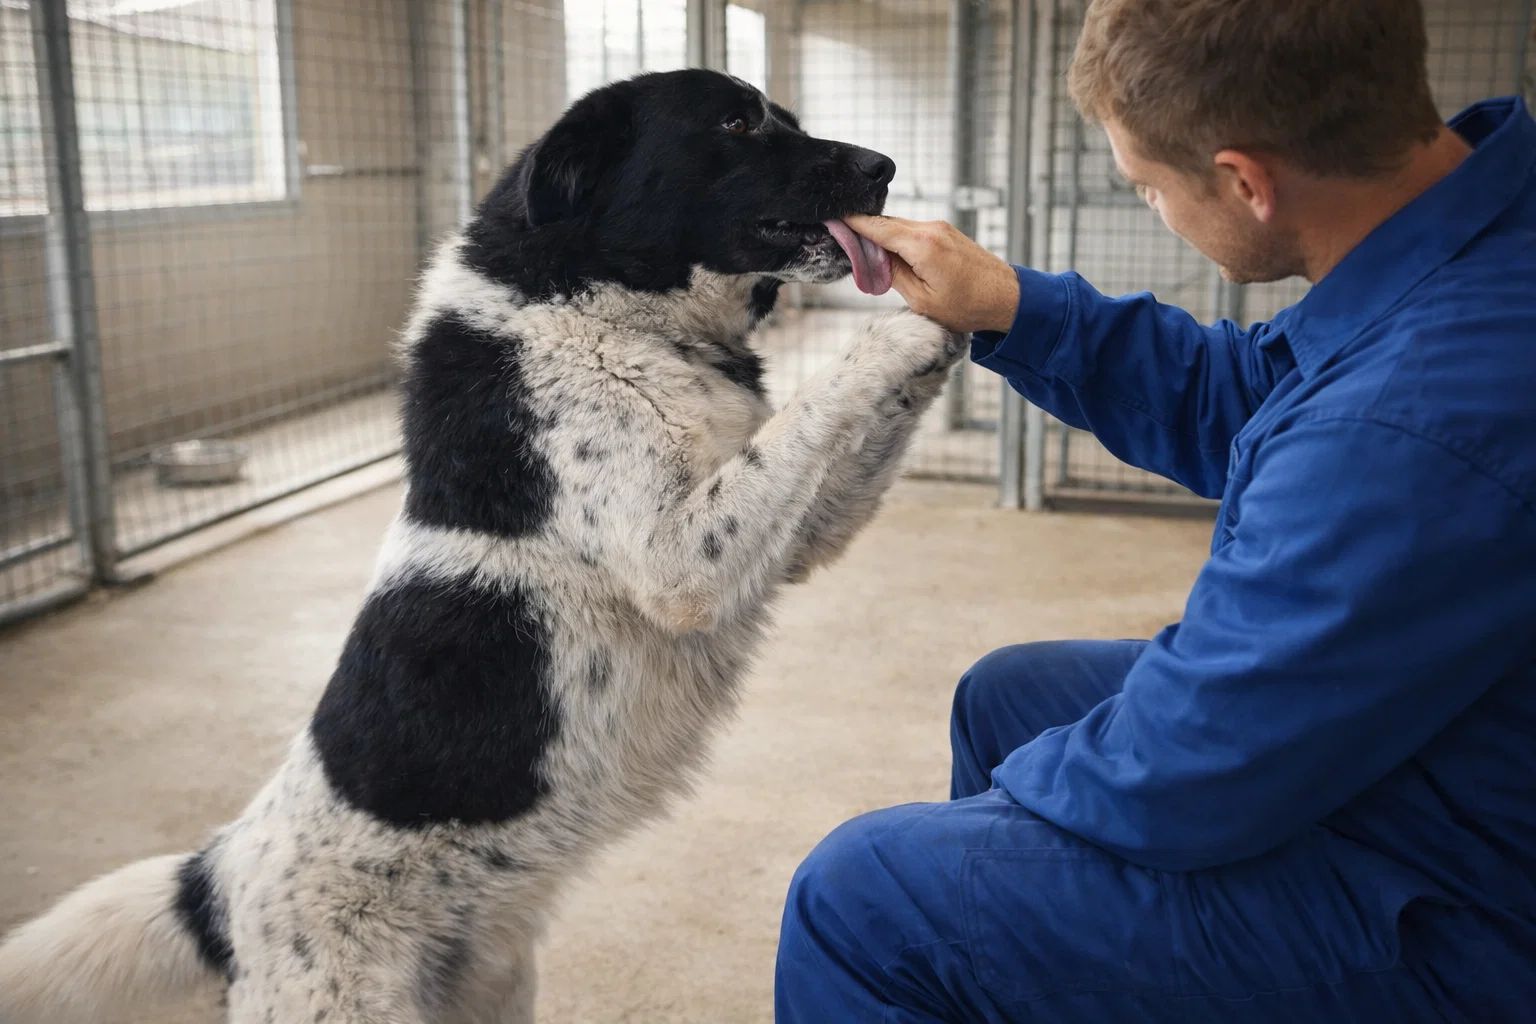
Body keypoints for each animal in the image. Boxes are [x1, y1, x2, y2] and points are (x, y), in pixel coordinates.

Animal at [0, 69, 964, 1023]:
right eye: (736, 123)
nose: (882, 167)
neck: (602, 307)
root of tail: (216, 883)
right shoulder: (683, 559)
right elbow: (823, 394)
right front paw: (922, 312)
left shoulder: (791, 537)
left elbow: (831, 424)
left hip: (494, 987)